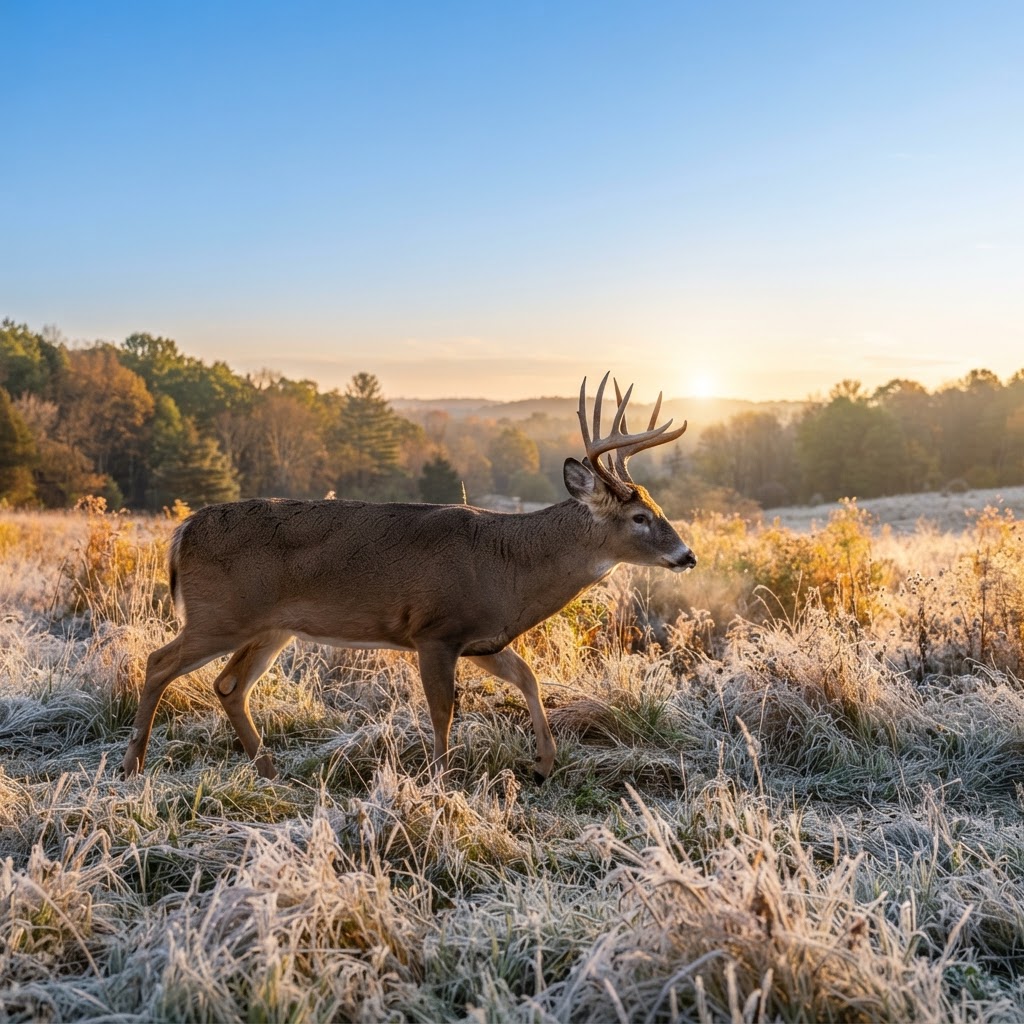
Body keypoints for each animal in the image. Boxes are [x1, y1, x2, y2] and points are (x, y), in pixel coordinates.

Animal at [122, 372, 696, 785]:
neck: (507, 566)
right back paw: (133, 766)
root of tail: (182, 532)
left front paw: (544, 763)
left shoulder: (481, 639)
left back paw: (269, 771)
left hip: (270, 628)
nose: (687, 555)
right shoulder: (434, 629)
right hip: (220, 614)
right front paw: (441, 780)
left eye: (657, 508)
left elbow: (528, 677)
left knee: (228, 685)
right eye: (639, 518)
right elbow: (443, 709)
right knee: (158, 662)